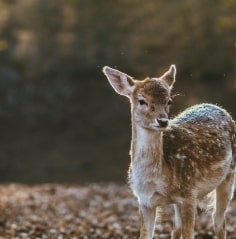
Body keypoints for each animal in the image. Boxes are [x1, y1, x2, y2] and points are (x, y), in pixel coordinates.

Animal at [103, 65, 236, 239]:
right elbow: (145, 235)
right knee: (176, 227)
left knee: (218, 221)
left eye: (169, 101)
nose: (162, 121)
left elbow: (189, 235)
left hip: (229, 176)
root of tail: (216, 106)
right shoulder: (144, 201)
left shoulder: (189, 194)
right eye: (142, 100)